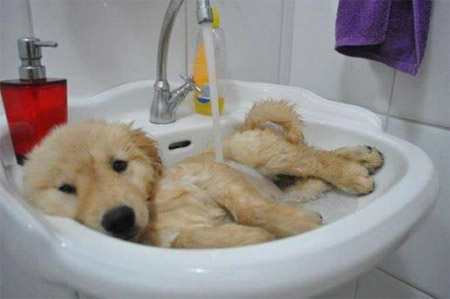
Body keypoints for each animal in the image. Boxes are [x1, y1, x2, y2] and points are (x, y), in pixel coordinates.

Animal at [23, 101, 384, 248]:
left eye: (119, 165)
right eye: (66, 188)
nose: (119, 220)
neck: (154, 208)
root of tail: (241, 127)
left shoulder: (212, 176)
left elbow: (248, 209)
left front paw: (299, 226)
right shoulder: (171, 242)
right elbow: (188, 238)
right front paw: (254, 237)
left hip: (260, 152)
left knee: (315, 157)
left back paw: (355, 172)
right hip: (290, 186)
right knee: (313, 171)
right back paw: (363, 158)